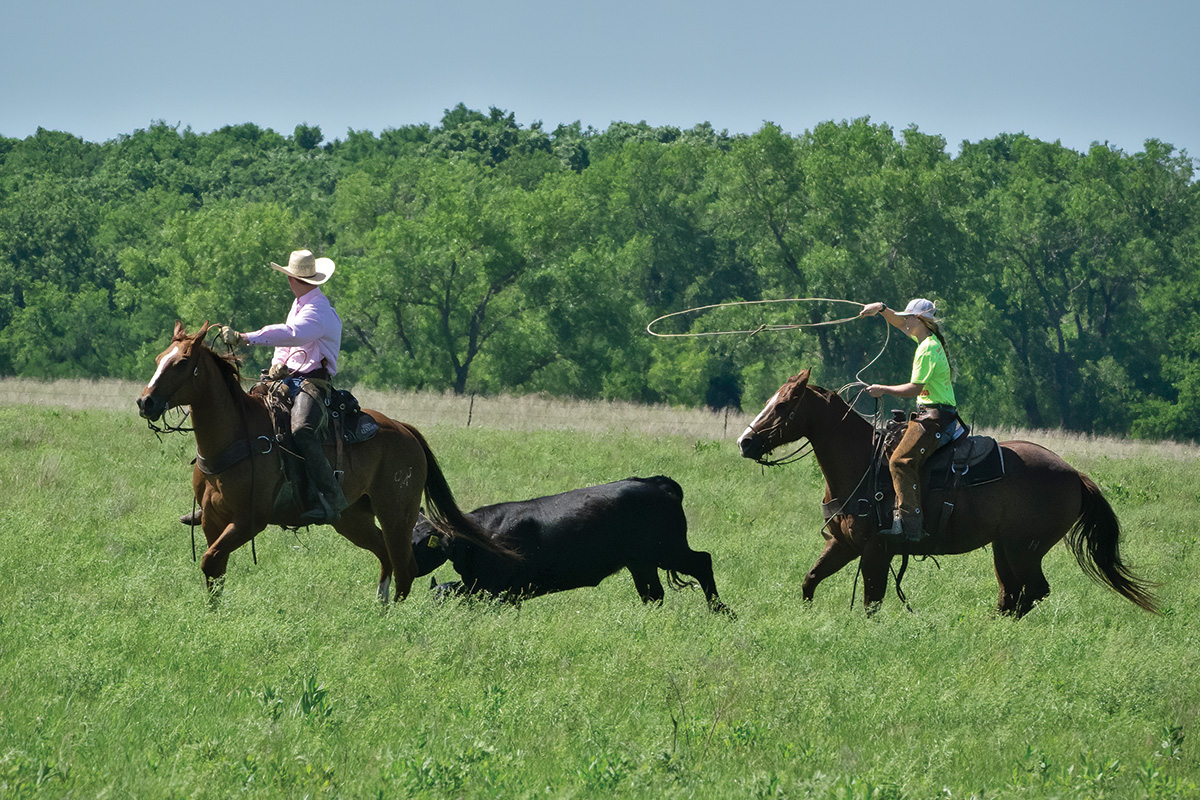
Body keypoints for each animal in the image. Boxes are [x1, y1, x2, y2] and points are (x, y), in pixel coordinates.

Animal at [137, 319, 501, 599]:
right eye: (159, 357)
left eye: (182, 362)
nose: (145, 402)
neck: (237, 434)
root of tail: (405, 430)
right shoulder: (213, 521)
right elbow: (215, 572)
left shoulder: (249, 521)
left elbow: (210, 562)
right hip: (352, 518)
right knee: (385, 556)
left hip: (397, 513)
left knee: (405, 567)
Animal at [734, 371, 1156, 618]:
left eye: (784, 405)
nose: (745, 442)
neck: (861, 463)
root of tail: (1074, 474)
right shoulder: (843, 544)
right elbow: (809, 581)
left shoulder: (874, 552)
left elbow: (872, 603)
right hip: (1004, 548)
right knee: (1011, 594)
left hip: (1024, 547)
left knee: (1032, 591)